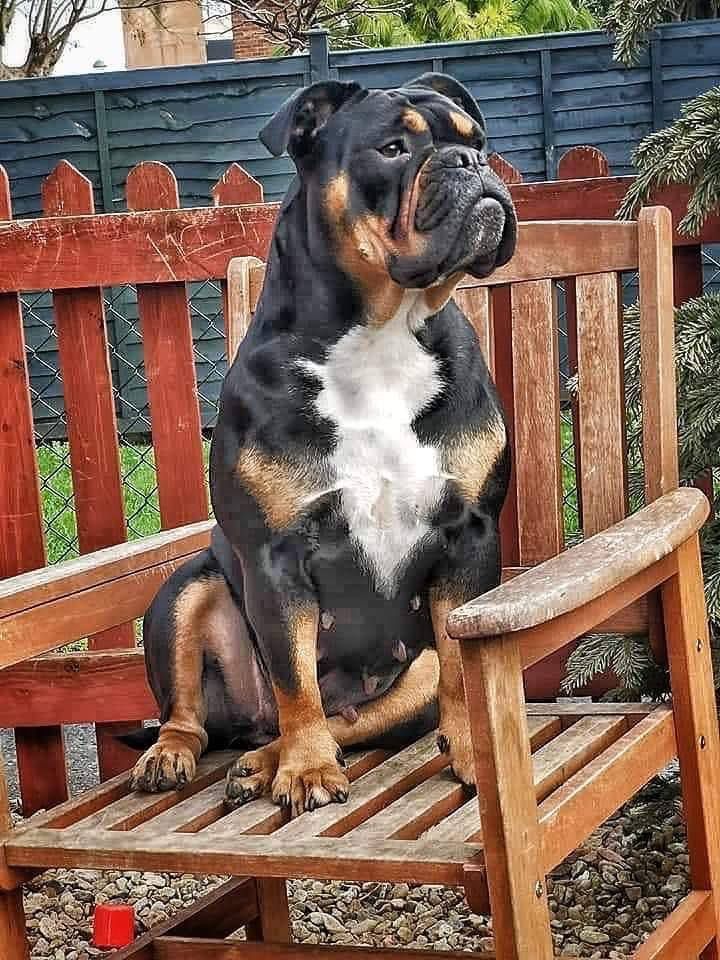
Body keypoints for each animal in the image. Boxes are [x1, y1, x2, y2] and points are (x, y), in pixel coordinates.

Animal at [129, 71, 516, 812]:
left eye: (477, 140)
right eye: (392, 149)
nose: (474, 163)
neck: (381, 334)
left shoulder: (470, 534)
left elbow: (464, 667)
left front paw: (476, 756)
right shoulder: (276, 557)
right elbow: (295, 677)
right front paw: (307, 770)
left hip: (410, 668)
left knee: (354, 715)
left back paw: (260, 763)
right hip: (185, 590)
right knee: (199, 712)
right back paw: (184, 755)